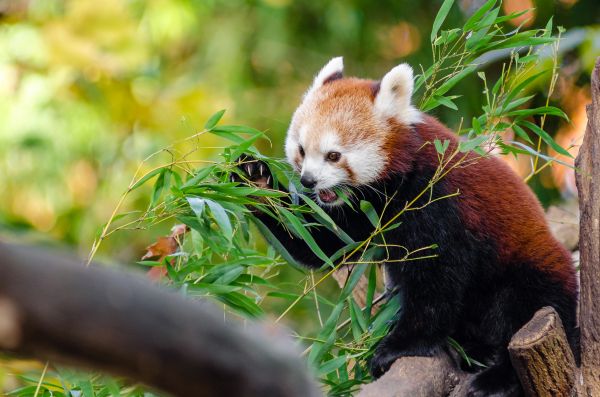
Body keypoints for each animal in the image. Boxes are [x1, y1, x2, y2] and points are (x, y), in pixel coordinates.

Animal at [237, 56, 580, 396]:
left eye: (334, 155)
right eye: (302, 150)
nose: (309, 181)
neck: (392, 185)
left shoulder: (437, 199)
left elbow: (436, 280)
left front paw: (401, 346)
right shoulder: (364, 211)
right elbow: (323, 244)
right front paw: (254, 178)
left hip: (532, 276)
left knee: (522, 310)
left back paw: (498, 378)